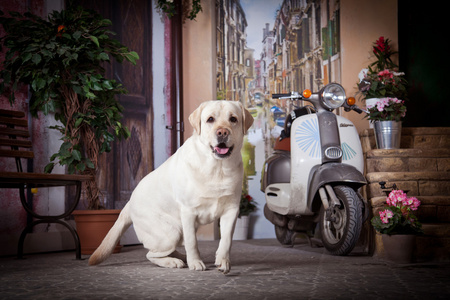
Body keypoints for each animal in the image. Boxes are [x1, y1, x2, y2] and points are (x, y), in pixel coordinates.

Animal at [89, 99, 253, 274]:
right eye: (210, 119)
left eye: (233, 119)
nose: (222, 132)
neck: (217, 168)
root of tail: (128, 203)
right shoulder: (188, 212)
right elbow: (192, 242)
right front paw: (195, 262)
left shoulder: (231, 210)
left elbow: (226, 240)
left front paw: (223, 262)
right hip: (171, 233)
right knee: (151, 254)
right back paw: (174, 261)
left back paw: (180, 257)